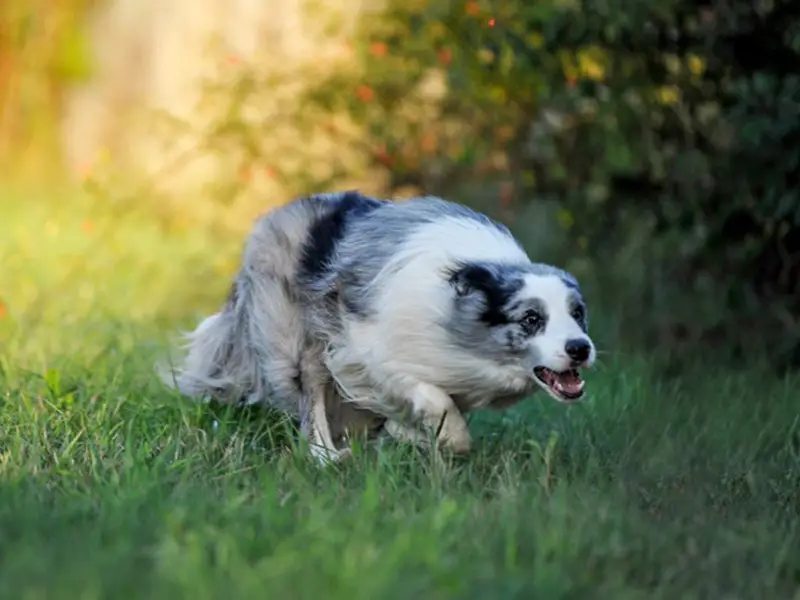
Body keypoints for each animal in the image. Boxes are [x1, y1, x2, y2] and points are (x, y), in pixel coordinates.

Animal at [161, 192, 592, 464]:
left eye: (578, 313)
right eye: (531, 318)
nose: (581, 348)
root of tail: (273, 216)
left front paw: (412, 436)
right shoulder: (369, 352)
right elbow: (436, 402)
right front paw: (450, 438)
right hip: (300, 342)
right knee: (311, 398)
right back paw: (326, 456)